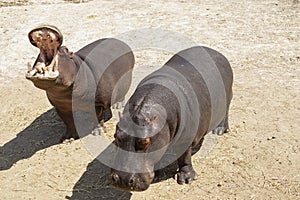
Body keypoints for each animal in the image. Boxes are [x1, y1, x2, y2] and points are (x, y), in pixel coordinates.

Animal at [109, 45, 233, 191]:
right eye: (116, 137)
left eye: (145, 142)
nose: (122, 179)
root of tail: (216, 52)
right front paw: (157, 175)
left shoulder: (185, 140)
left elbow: (185, 158)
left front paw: (186, 179)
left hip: (228, 97)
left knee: (225, 113)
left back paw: (219, 130)